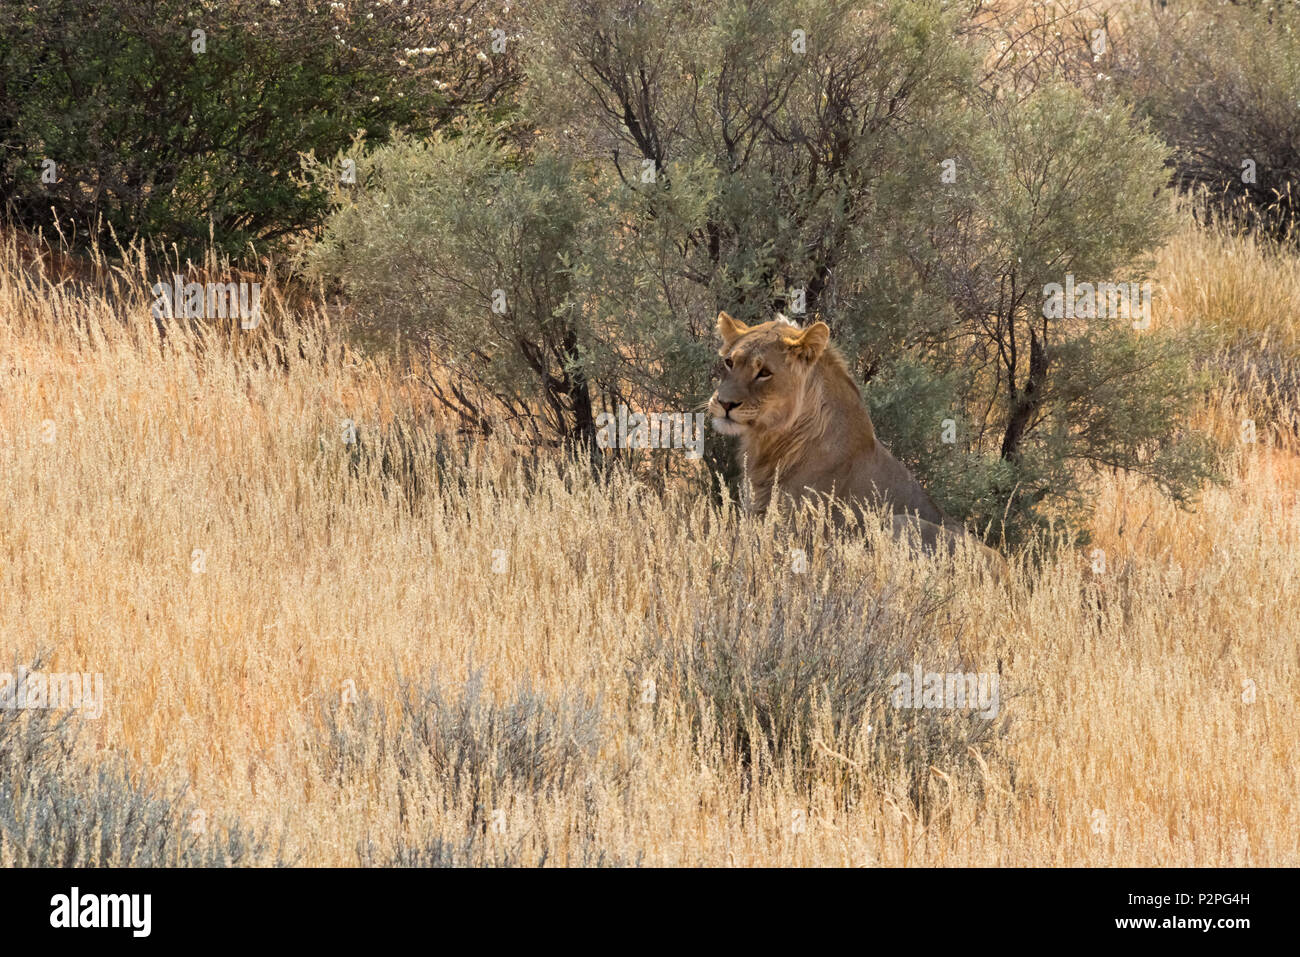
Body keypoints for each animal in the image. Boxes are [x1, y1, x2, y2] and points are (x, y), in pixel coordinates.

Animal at [712, 312, 1003, 574]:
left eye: (764, 372)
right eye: (729, 362)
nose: (724, 403)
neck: (769, 442)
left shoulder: (791, 533)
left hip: (900, 522)